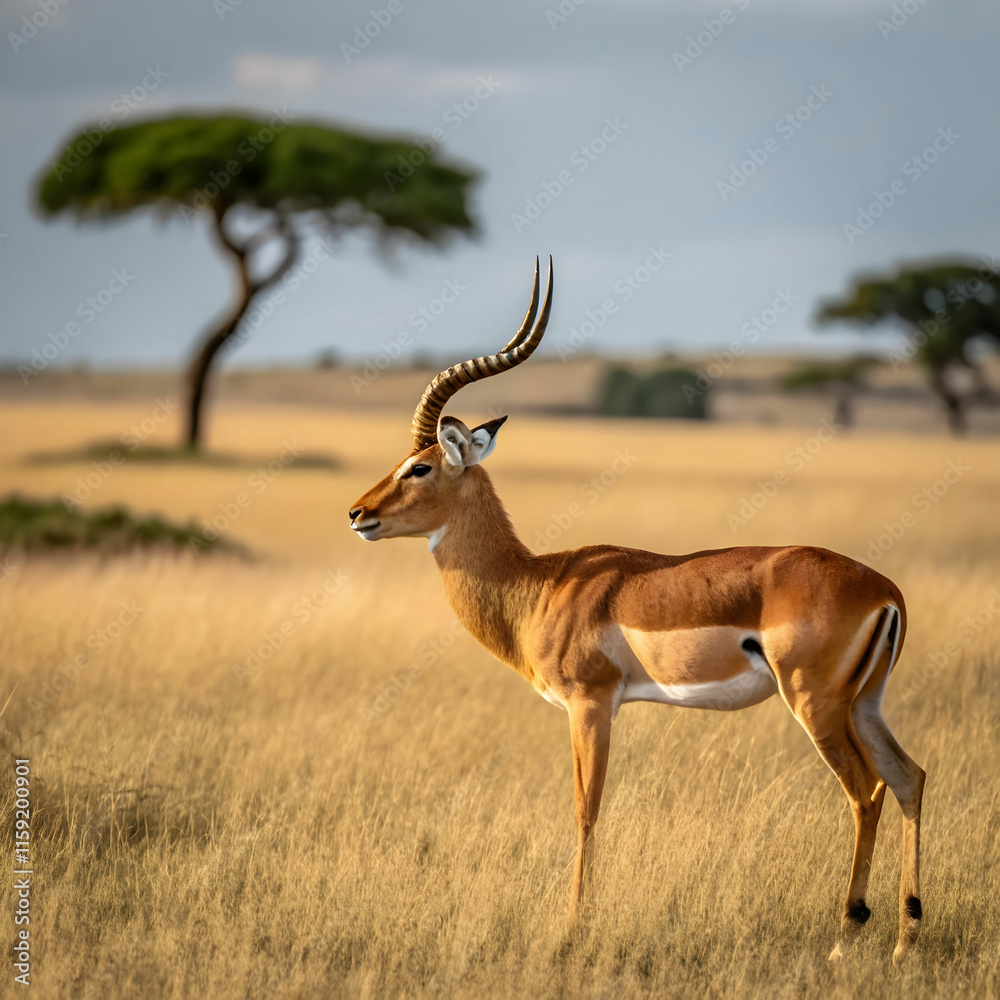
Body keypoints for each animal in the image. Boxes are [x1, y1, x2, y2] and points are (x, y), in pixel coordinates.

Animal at [349, 258, 925, 963]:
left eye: (420, 467)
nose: (358, 513)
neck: (542, 584)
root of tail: (885, 591)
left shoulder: (591, 703)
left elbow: (585, 809)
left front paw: (568, 932)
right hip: (865, 703)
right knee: (909, 778)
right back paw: (905, 940)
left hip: (816, 704)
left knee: (866, 792)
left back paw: (847, 935)